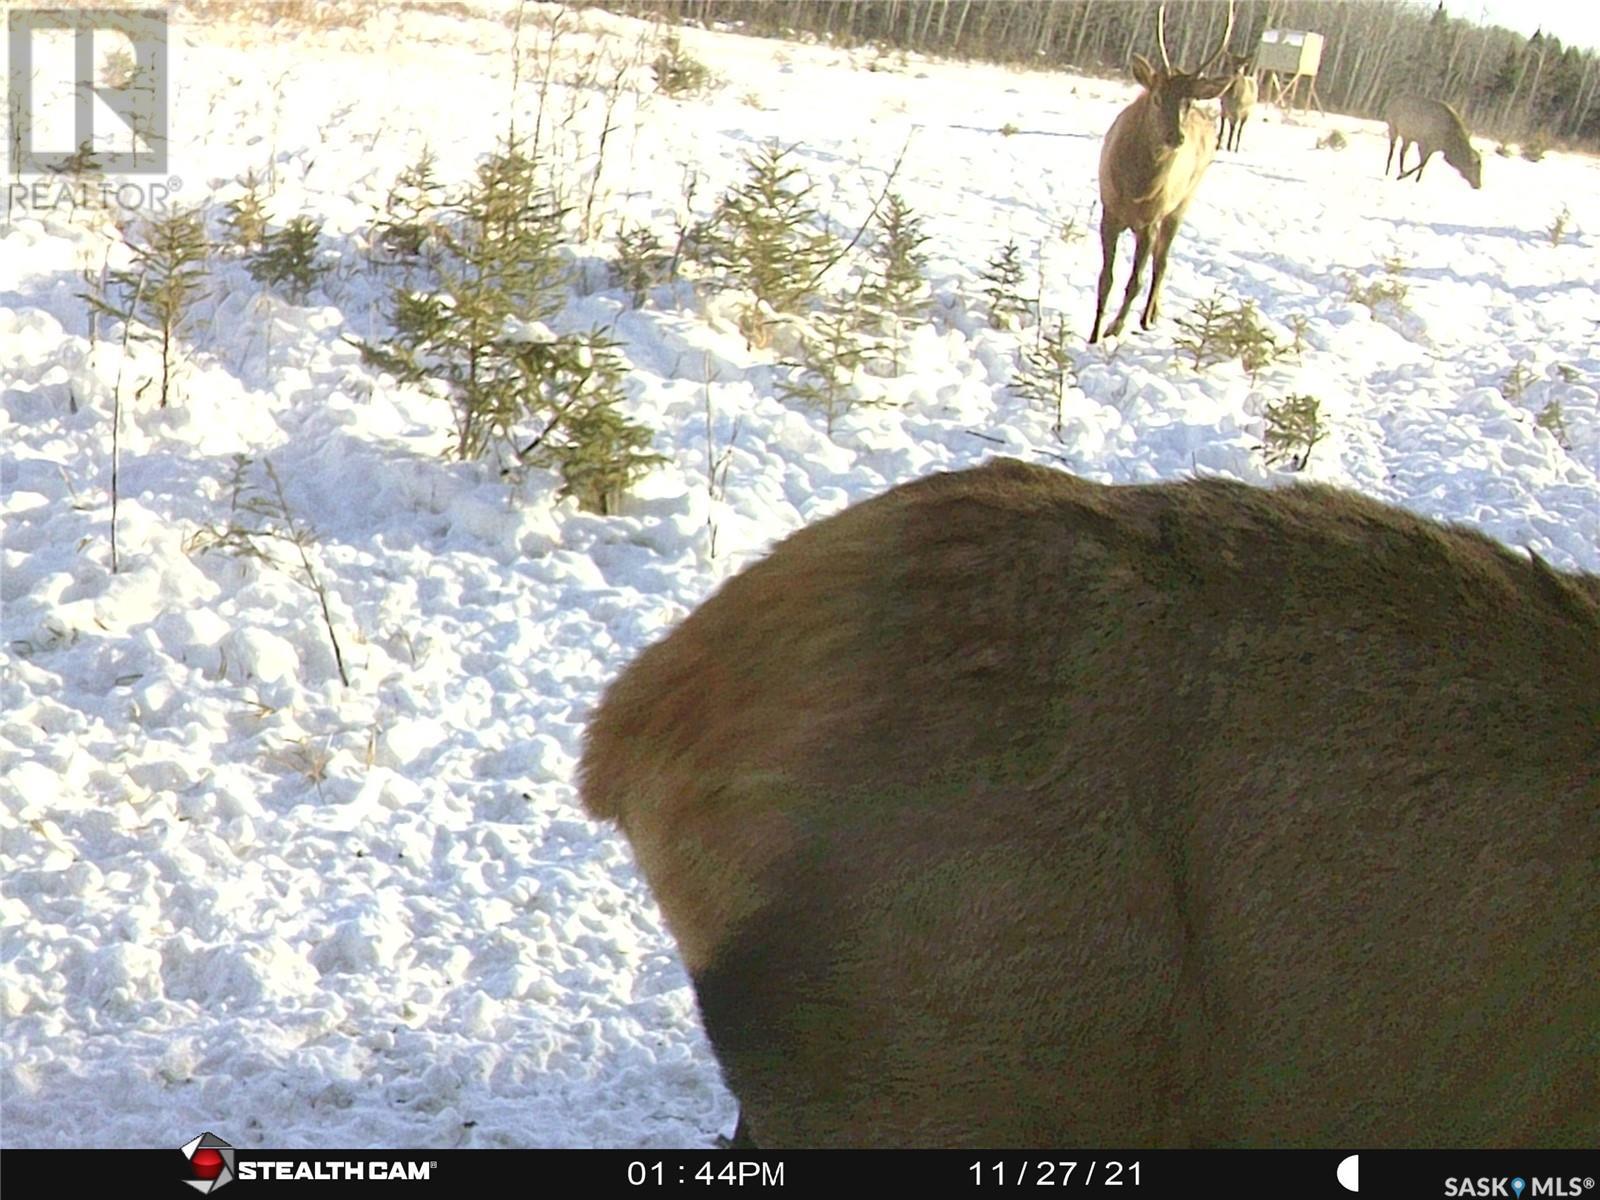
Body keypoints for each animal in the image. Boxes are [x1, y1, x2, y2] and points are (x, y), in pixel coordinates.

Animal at [1088, 2, 1235, 345]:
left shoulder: (1150, 221)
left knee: (1162, 262)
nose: (1176, 137)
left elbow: (1135, 282)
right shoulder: (1109, 212)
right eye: (1157, 98)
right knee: (1160, 260)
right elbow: (1105, 279)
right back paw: (1152, 314)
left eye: (1188, 101)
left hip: (1182, 203)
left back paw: (1147, 317)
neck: (1135, 189)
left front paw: (1114, 328)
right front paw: (1094, 334)